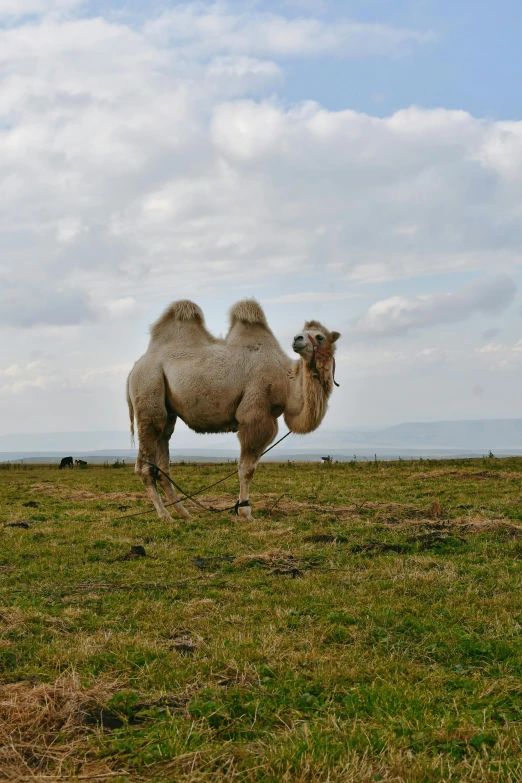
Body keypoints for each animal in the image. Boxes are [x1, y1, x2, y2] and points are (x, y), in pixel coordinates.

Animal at [125, 300, 338, 520]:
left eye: (320, 336)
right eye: (305, 333)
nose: (297, 339)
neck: (286, 381)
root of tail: (134, 369)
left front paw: (240, 510)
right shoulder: (255, 414)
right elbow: (247, 469)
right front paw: (245, 512)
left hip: (167, 411)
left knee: (163, 458)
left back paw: (184, 514)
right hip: (148, 388)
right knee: (145, 464)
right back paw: (165, 515)